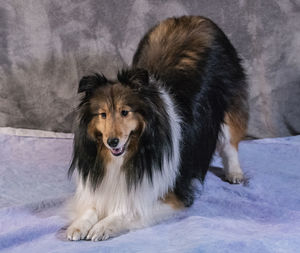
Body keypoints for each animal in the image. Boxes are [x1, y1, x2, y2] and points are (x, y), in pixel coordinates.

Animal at [66, 15, 248, 241]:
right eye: (103, 114)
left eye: (125, 112)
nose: (112, 142)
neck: (129, 157)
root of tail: (195, 17)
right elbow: (91, 207)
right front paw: (79, 225)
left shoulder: (171, 195)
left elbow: (131, 209)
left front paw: (103, 226)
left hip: (228, 103)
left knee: (230, 143)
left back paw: (235, 173)